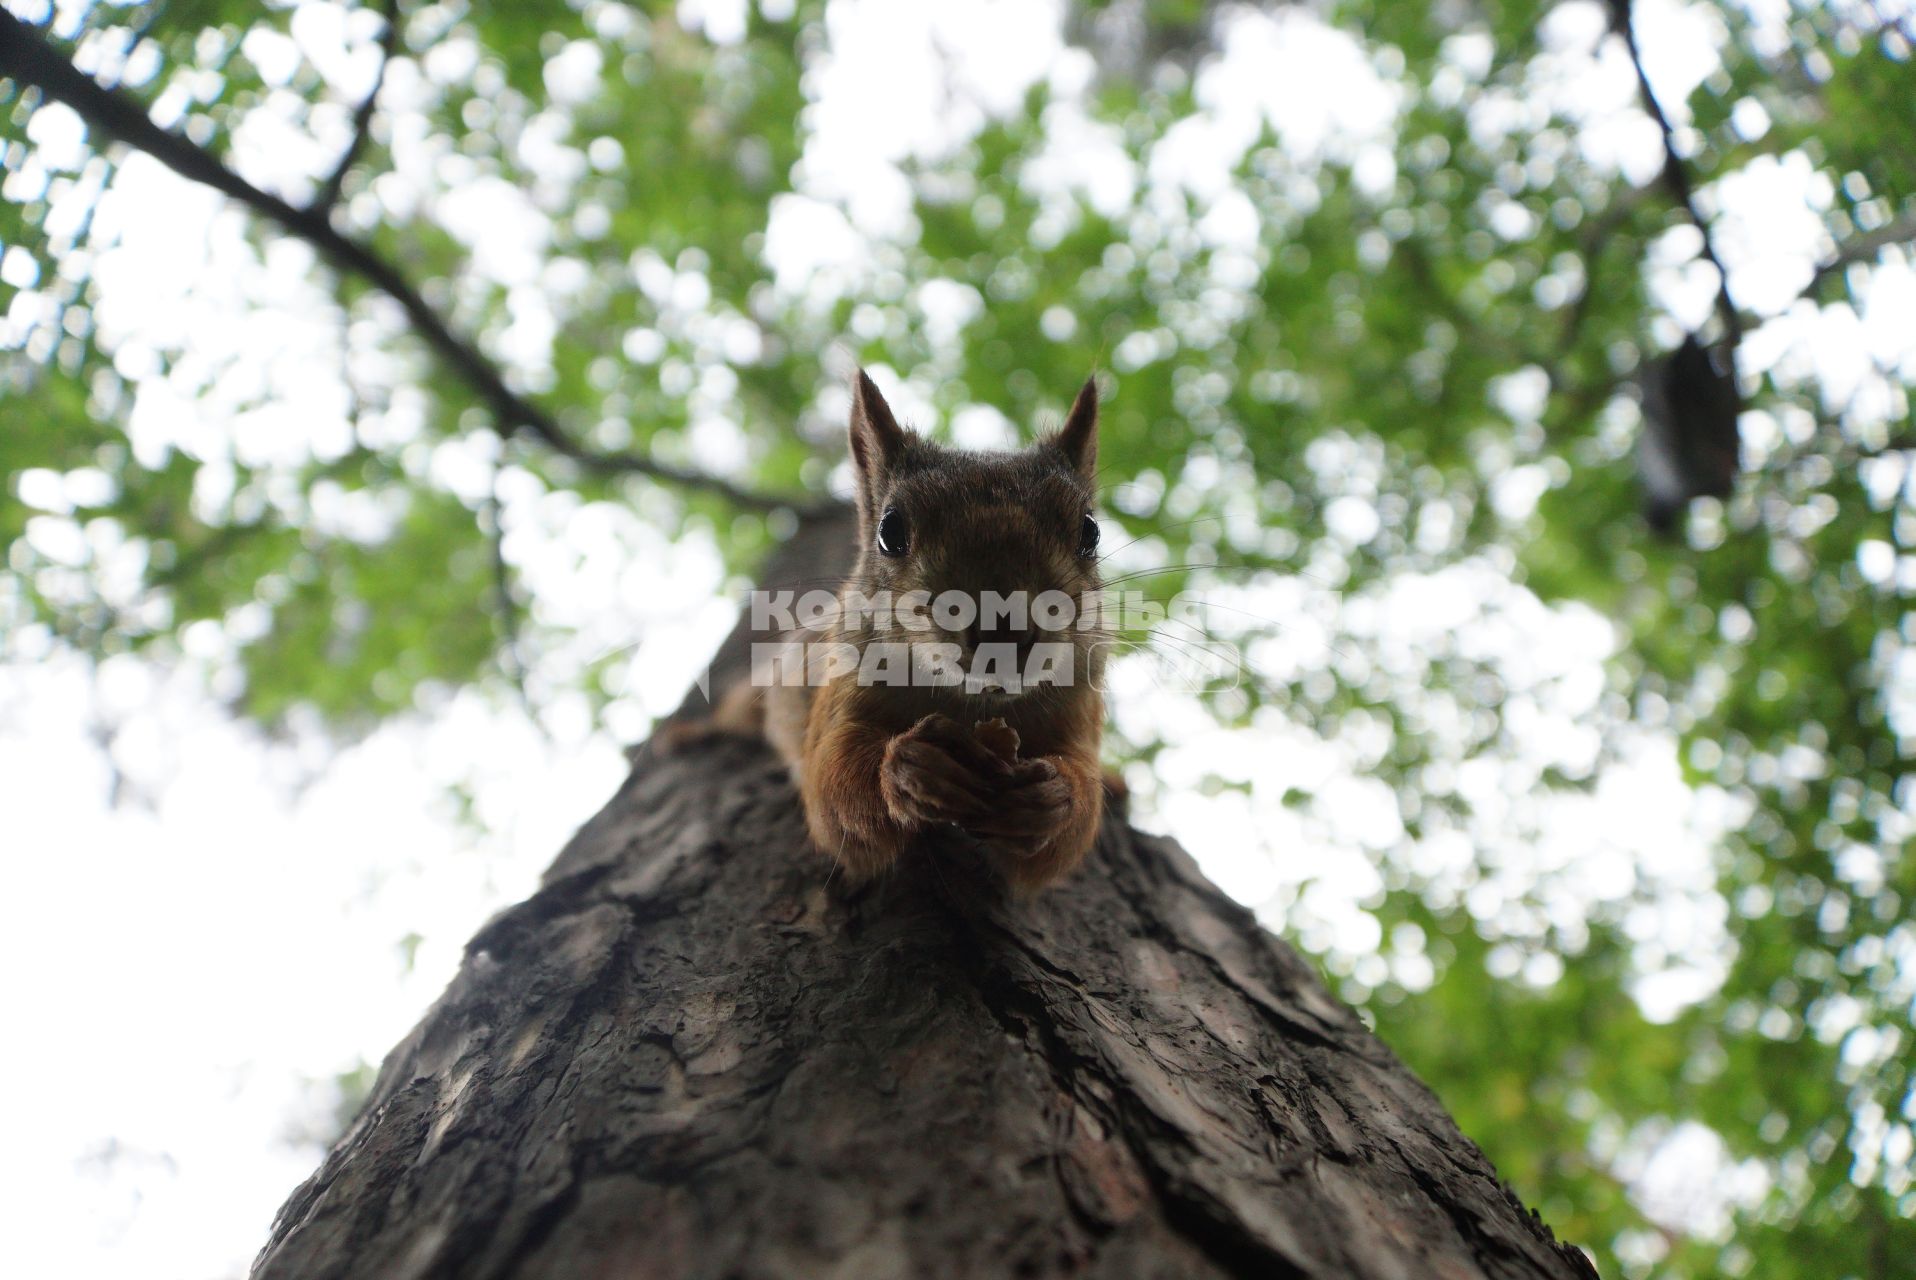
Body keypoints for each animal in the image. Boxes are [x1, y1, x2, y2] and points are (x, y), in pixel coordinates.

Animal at [685, 369, 1111, 889]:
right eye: (890, 531)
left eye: (1090, 532)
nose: (1002, 633)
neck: (970, 705)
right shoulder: (841, 694)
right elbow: (832, 788)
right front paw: (912, 769)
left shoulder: (1079, 715)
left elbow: (1070, 830)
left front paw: (1052, 799)